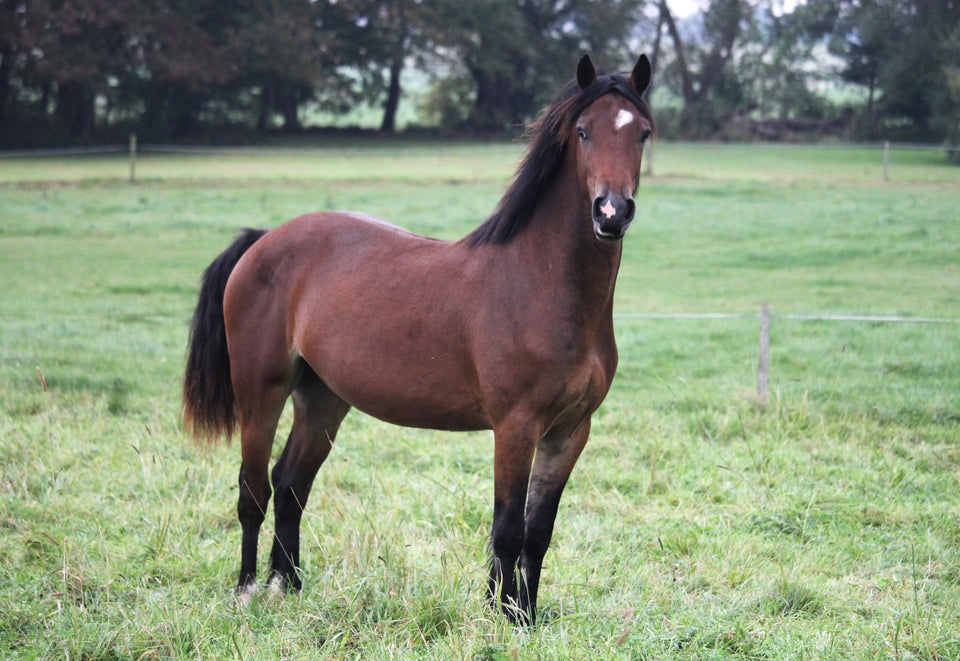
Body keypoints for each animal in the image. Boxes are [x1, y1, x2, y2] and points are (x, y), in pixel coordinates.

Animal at [183, 52, 652, 624]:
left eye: (643, 133)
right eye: (583, 132)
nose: (612, 212)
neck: (541, 283)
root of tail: (263, 240)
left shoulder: (569, 431)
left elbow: (538, 532)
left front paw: (526, 615)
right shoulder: (515, 426)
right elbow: (508, 529)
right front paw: (502, 617)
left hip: (323, 399)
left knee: (290, 484)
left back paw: (288, 584)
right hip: (261, 393)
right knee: (253, 490)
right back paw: (248, 589)